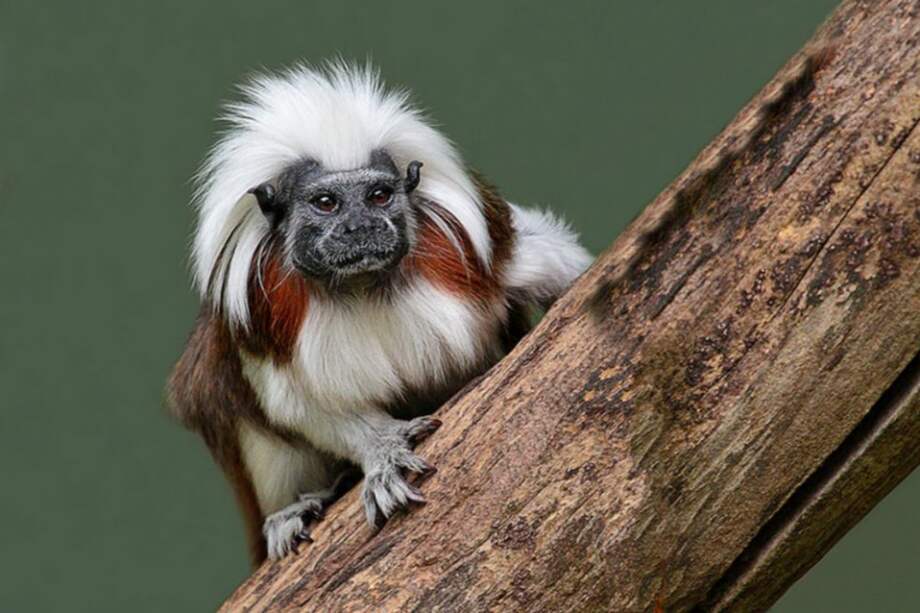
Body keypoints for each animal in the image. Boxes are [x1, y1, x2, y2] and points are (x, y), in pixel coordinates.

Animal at [167, 63, 593, 565]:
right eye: (327, 203)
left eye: (379, 195)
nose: (360, 227)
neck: (364, 287)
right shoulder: (260, 318)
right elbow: (298, 404)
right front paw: (383, 454)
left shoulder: (483, 255)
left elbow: (557, 269)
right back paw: (300, 506)